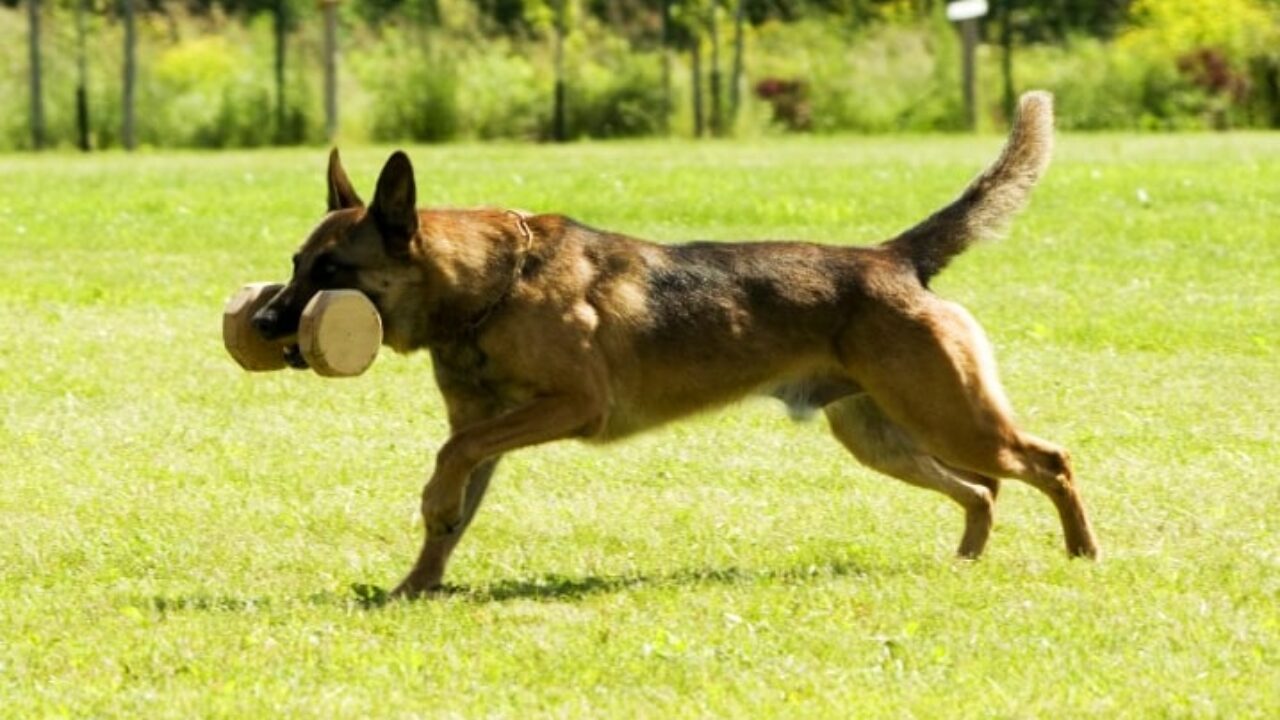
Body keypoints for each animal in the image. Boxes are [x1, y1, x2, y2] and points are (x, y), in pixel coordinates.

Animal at [252, 92, 1100, 597]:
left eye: (331, 271)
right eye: (295, 264)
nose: (262, 326)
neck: (491, 287)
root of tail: (893, 258)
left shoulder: (572, 405)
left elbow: (447, 463)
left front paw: (428, 520)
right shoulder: (487, 429)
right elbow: (454, 503)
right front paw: (414, 586)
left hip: (953, 419)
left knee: (1048, 461)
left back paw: (1083, 552)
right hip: (884, 436)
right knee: (984, 491)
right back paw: (968, 559)